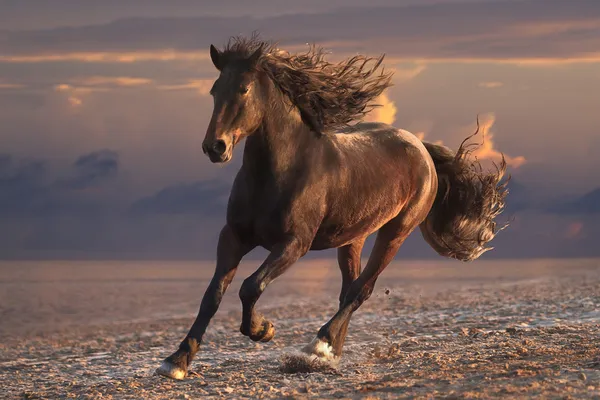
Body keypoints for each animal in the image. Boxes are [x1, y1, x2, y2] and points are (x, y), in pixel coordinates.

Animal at [155, 33, 506, 378]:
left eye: (244, 88)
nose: (215, 147)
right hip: (353, 237)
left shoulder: (294, 244)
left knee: (361, 289)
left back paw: (319, 347)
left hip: (396, 232)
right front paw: (177, 360)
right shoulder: (233, 237)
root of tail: (420, 147)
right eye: (214, 90)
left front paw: (262, 330)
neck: (281, 171)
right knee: (349, 289)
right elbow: (213, 294)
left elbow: (250, 286)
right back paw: (330, 351)